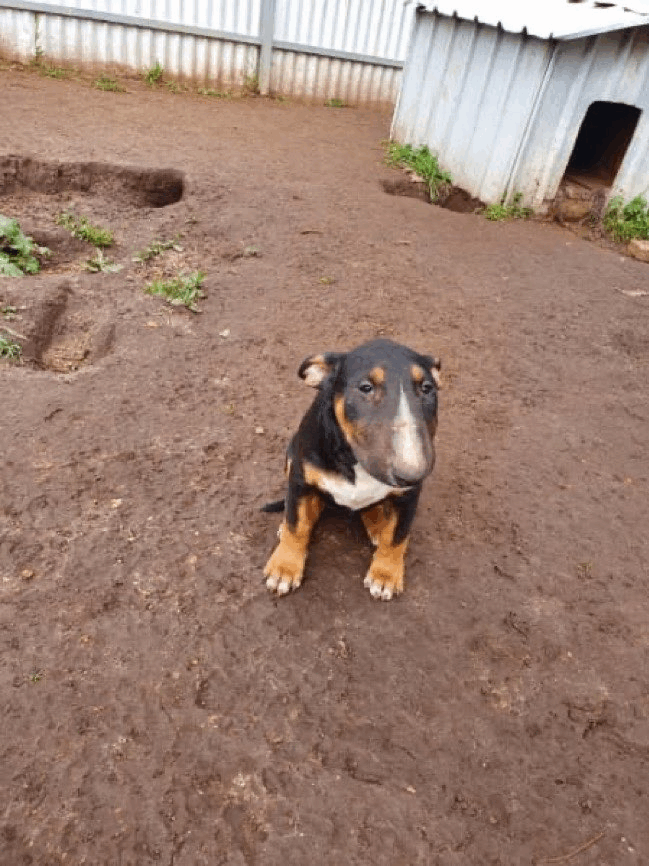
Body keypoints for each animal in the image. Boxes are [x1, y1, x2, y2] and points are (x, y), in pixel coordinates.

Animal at [264, 338, 440, 600]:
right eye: (365, 387)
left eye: (427, 388)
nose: (412, 472)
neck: (356, 461)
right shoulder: (299, 479)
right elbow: (296, 526)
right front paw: (284, 568)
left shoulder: (409, 496)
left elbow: (398, 536)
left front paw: (385, 575)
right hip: (291, 453)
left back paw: (377, 524)